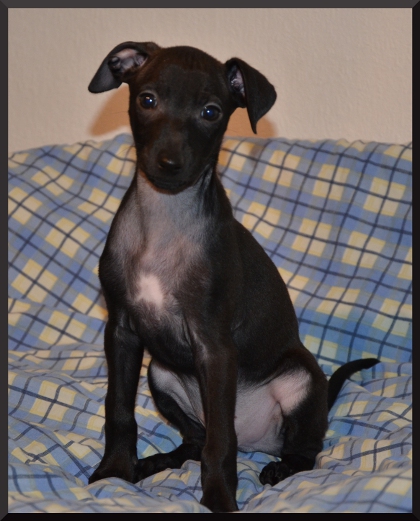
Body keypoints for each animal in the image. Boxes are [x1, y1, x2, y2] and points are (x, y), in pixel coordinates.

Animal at [87, 42, 379, 512]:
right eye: (147, 100)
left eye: (211, 112)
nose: (169, 164)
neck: (165, 221)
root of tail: (260, 442)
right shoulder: (122, 332)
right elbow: (119, 410)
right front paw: (114, 472)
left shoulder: (215, 346)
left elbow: (221, 443)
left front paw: (219, 499)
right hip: (161, 374)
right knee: (195, 439)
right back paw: (159, 461)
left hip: (299, 381)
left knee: (304, 451)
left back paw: (280, 468)